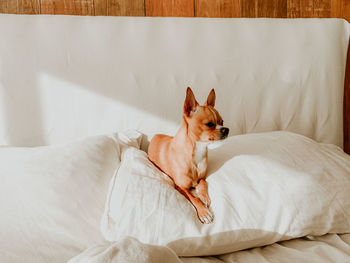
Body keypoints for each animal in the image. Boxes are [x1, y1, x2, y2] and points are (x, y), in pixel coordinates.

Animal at [148, 87, 230, 224]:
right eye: (209, 124)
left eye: (222, 122)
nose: (227, 129)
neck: (197, 150)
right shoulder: (181, 187)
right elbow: (193, 198)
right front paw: (204, 213)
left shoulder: (202, 177)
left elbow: (203, 183)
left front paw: (204, 197)